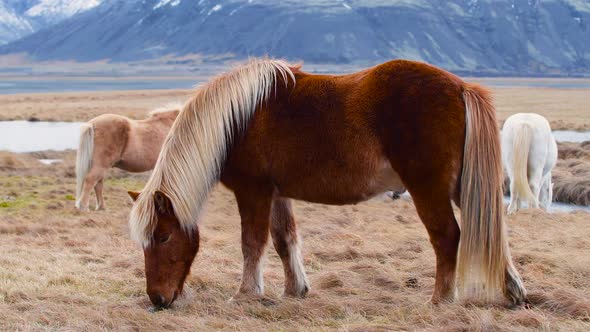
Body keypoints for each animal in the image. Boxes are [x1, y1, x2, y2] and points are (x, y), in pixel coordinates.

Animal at [128, 58, 528, 310]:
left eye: (163, 237)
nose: (157, 300)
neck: (235, 118)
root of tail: (461, 87)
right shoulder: (277, 193)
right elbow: (284, 239)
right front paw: (295, 290)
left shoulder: (253, 191)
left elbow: (252, 243)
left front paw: (245, 294)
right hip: (462, 188)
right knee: (493, 232)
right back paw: (513, 292)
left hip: (429, 190)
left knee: (448, 238)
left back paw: (440, 300)